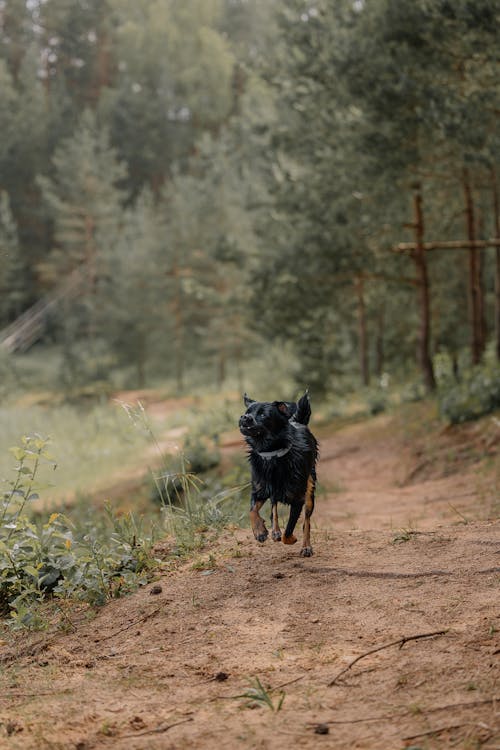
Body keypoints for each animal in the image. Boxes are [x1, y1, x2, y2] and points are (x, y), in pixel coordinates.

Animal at [237, 394, 316, 560]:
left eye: (263, 415)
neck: (272, 454)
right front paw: (260, 531)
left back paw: (306, 547)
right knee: (274, 507)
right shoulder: (259, 490)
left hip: (310, 492)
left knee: (306, 521)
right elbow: (252, 510)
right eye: (247, 412)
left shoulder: (298, 499)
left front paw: (291, 539)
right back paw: (275, 531)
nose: (244, 417)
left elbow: (290, 529)